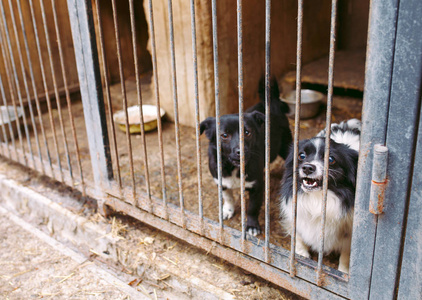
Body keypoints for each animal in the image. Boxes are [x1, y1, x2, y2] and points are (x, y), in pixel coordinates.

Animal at [200, 79, 292, 237]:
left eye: (247, 132)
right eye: (224, 135)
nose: (240, 151)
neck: (233, 167)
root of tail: (271, 102)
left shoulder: (257, 187)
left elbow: (252, 209)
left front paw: (252, 226)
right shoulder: (221, 182)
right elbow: (228, 198)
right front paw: (228, 211)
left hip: (285, 146)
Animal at [280, 119, 360, 272]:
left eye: (331, 159)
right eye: (301, 156)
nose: (307, 167)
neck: (317, 198)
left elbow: (346, 253)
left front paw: (343, 271)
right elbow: (298, 235)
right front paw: (301, 254)